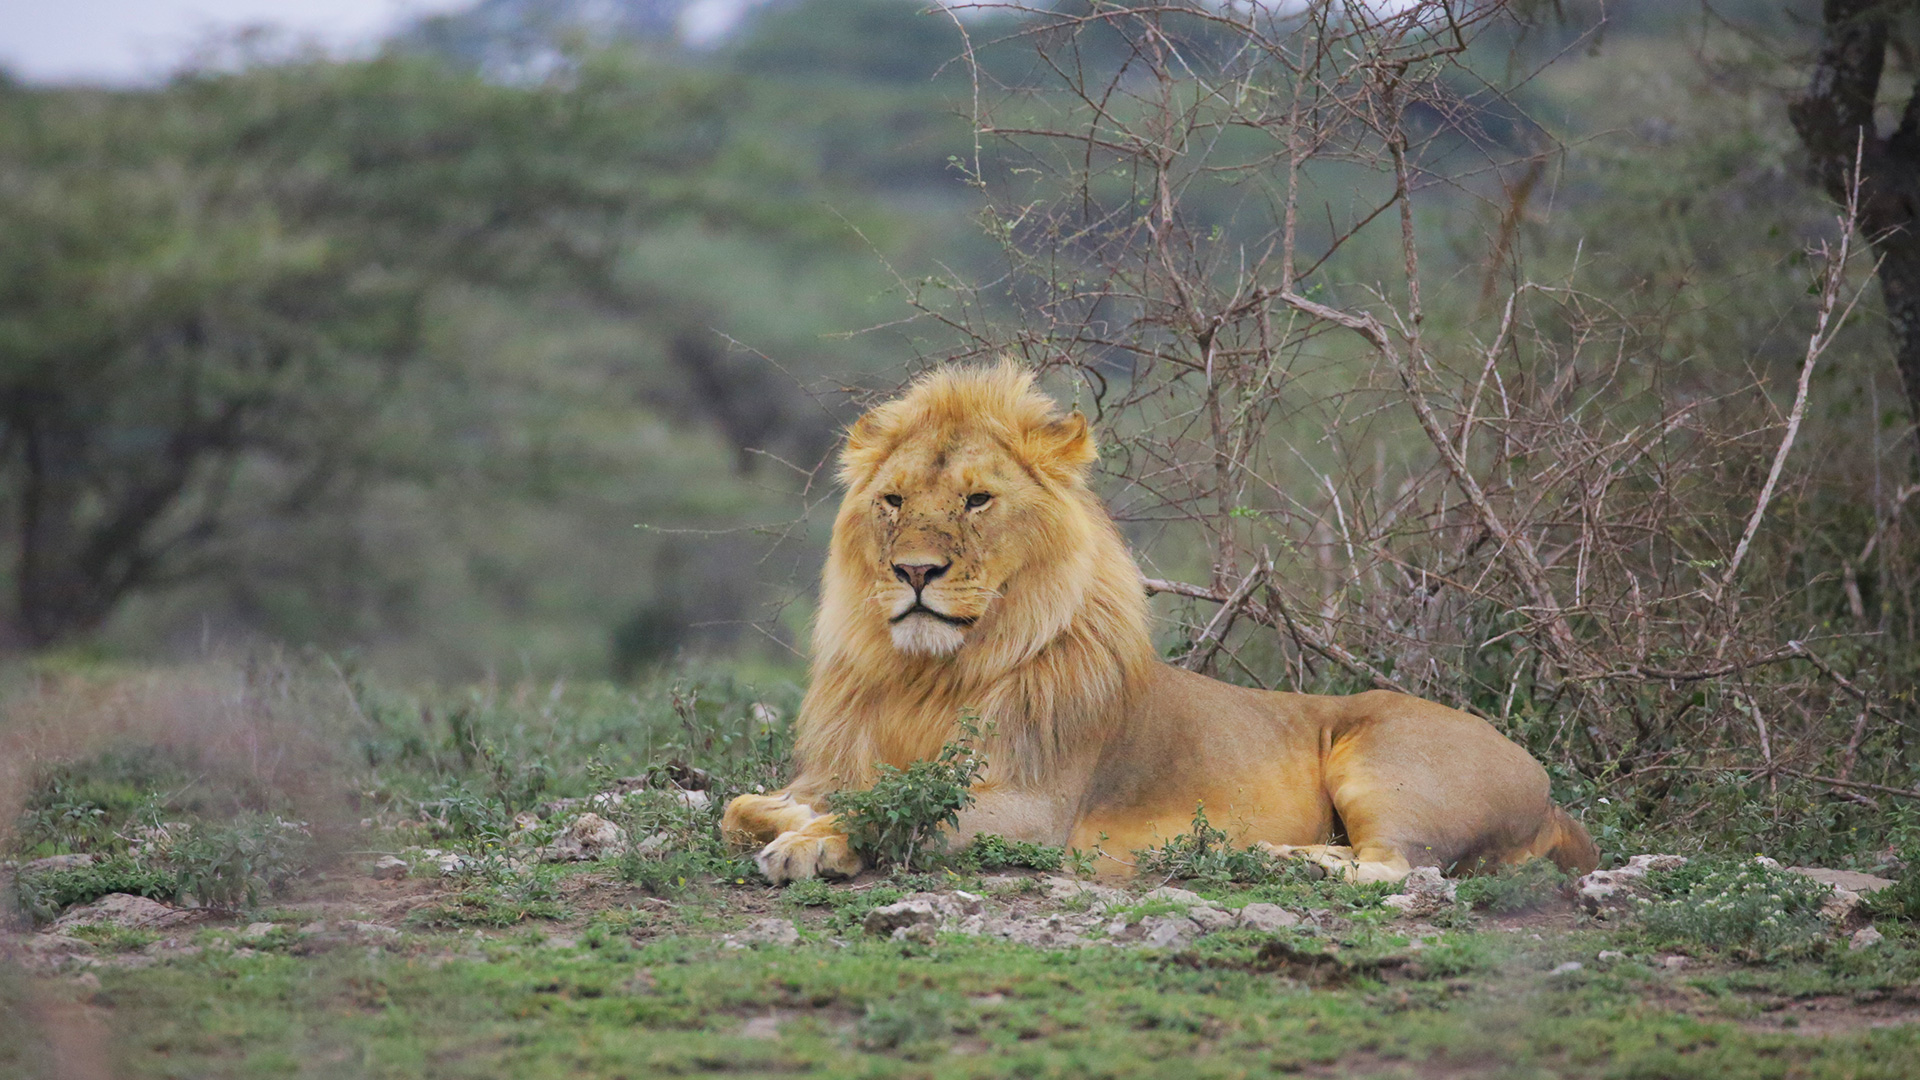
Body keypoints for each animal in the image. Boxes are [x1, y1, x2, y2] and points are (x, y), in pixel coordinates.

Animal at [718, 361, 1589, 883]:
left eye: (978, 500)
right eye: (893, 500)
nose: (915, 572)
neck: (925, 676)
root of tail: (1553, 793)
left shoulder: (1030, 811)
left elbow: (892, 814)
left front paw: (810, 844)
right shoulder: (837, 770)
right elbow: (745, 805)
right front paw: (790, 818)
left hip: (1384, 760)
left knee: (1401, 868)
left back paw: (1280, 860)